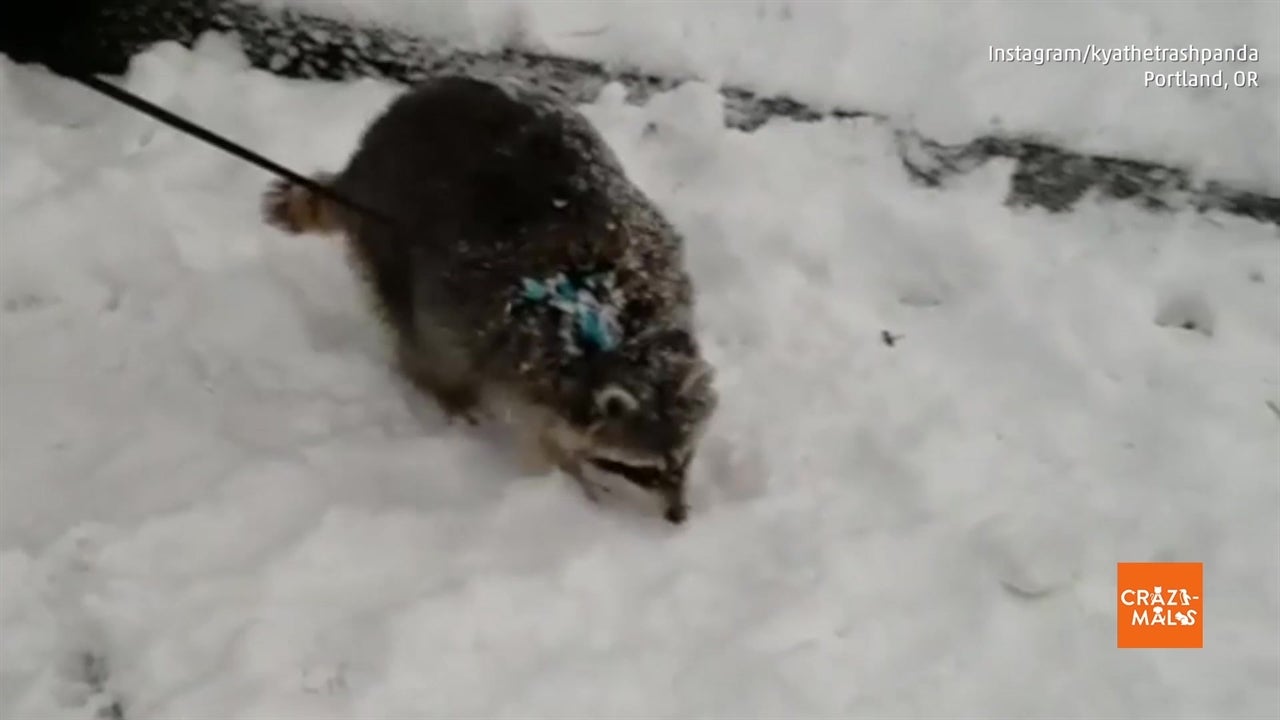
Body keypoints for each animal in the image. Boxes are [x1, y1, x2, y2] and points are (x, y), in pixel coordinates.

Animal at [261, 75, 717, 524]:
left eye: (684, 459)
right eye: (641, 471)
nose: (678, 517)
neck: (608, 323)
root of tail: (366, 152)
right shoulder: (495, 327)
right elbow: (539, 427)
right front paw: (574, 480)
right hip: (391, 244)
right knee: (419, 336)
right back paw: (448, 391)